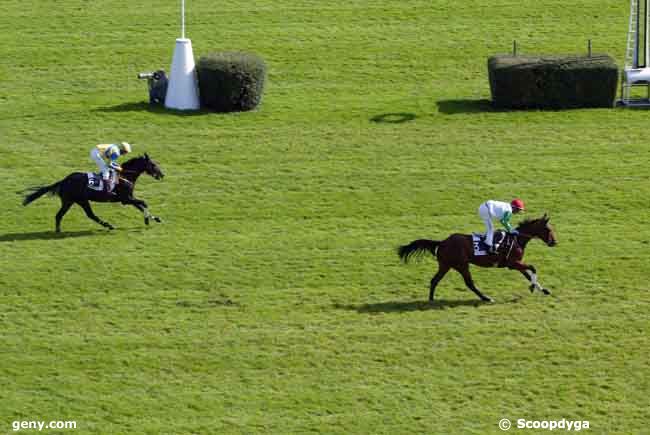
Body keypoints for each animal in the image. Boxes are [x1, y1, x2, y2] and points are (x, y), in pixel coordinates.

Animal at [22, 155, 165, 233]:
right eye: (153, 164)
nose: (162, 174)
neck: (125, 176)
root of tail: (64, 180)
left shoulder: (129, 198)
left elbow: (141, 206)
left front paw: (155, 218)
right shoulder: (126, 199)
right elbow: (144, 203)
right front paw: (147, 220)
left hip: (72, 201)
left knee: (62, 215)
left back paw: (58, 230)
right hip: (79, 200)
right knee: (88, 215)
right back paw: (108, 225)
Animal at [398, 215, 556, 304]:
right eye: (548, 230)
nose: (554, 242)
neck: (516, 239)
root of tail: (442, 242)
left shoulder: (516, 264)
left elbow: (528, 274)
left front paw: (542, 289)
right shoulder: (512, 263)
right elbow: (532, 268)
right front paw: (533, 287)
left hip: (446, 265)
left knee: (434, 280)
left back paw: (431, 300)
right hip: (462, 265)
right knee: (469, 283)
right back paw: (486, 298)